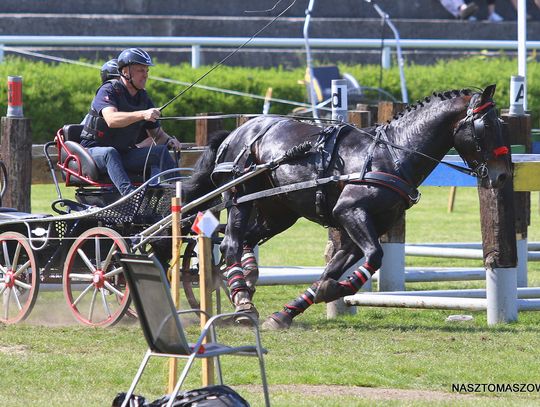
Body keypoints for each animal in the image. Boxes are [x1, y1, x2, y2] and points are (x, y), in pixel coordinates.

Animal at [182, 85, 510, 328]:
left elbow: (334, 268)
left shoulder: (363, 225)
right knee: (232, 244)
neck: (392, 154)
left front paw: (292, 309)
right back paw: (243, 302)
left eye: (501, 124)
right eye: (487, 125)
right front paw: (333, 291)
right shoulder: (350, 212)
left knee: (245, 241)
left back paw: (246, 281)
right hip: (241, 198)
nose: (502, 175)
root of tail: (237, 132)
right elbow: (374, 256)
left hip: (278, 212)